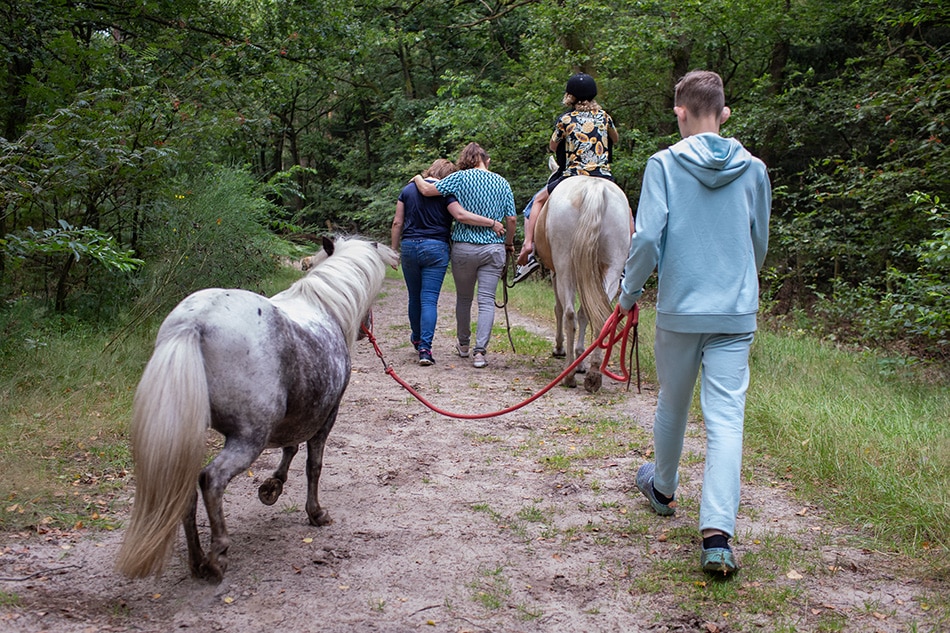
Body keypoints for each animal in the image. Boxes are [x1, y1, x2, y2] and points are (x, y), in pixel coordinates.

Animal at [115, 236, 398, 582]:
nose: (364, 329)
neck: (321, 307)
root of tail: (194, 321)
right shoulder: (326, 415)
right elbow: (313, 465)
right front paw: (315, 513)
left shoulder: (296, 414)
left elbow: (290, 447)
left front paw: (271, 487)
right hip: (249, 437)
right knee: (212, 479)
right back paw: (217, 556)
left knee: (185, 488)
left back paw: (197, 561)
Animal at [534, 172, 632, 392]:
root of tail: (595, 188)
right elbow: (585, 313)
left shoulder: (555, 273)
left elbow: (559, 309)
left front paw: (560, 348)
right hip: (613, 269)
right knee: (600, 316)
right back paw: (594, 374)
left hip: (564, 267)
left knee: (569, 314)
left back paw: (569, 374)